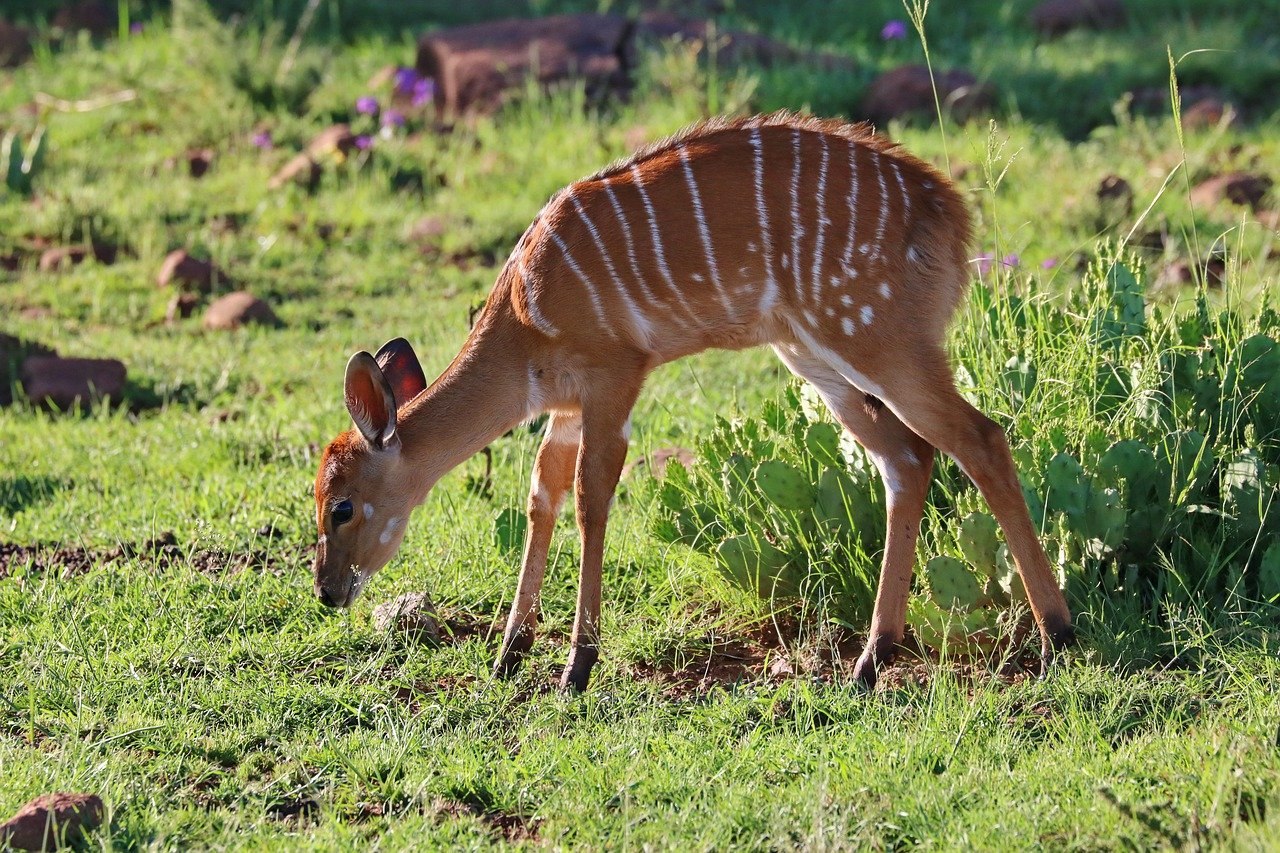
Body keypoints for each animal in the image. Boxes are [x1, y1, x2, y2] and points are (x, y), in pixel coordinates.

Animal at [314, 109, 1075, 686]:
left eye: (341, 505)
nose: (325, 591)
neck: (525, 314)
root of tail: (950, 213)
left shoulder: (615, 377)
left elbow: (591, 499)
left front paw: (576, 667)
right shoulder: (564, 405)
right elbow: (541, 495)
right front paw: (509, 654)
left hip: (878, 341)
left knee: (979, 438)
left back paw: (1056, 636)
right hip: (817, 358)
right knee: (907, 459)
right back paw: (869, 659)